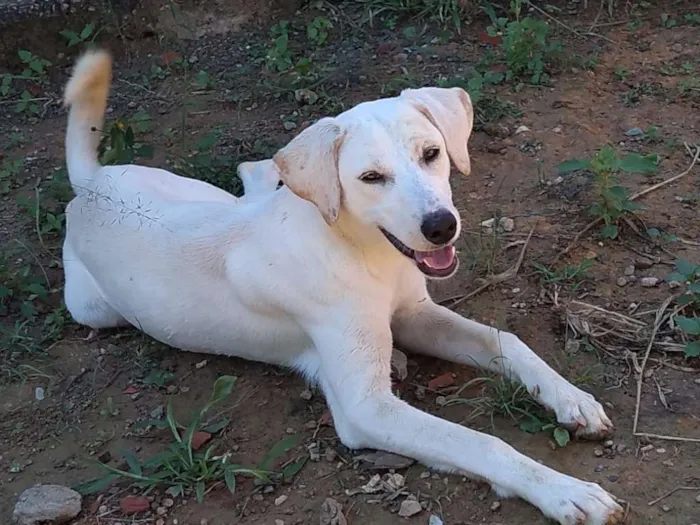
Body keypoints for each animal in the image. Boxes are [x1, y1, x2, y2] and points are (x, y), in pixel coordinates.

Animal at [64, 50, 624, 524]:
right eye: (371, 177)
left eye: (432, 153)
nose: (441, 226)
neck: (363, 251)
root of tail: (90, 183)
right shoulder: (365, 409)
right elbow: (480, 443)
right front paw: (566, 492)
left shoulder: (414, 315)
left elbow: (507, 340)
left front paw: (571, 399)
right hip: (90, 308)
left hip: (205, 196)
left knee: (254, 180)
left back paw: (263, 171)